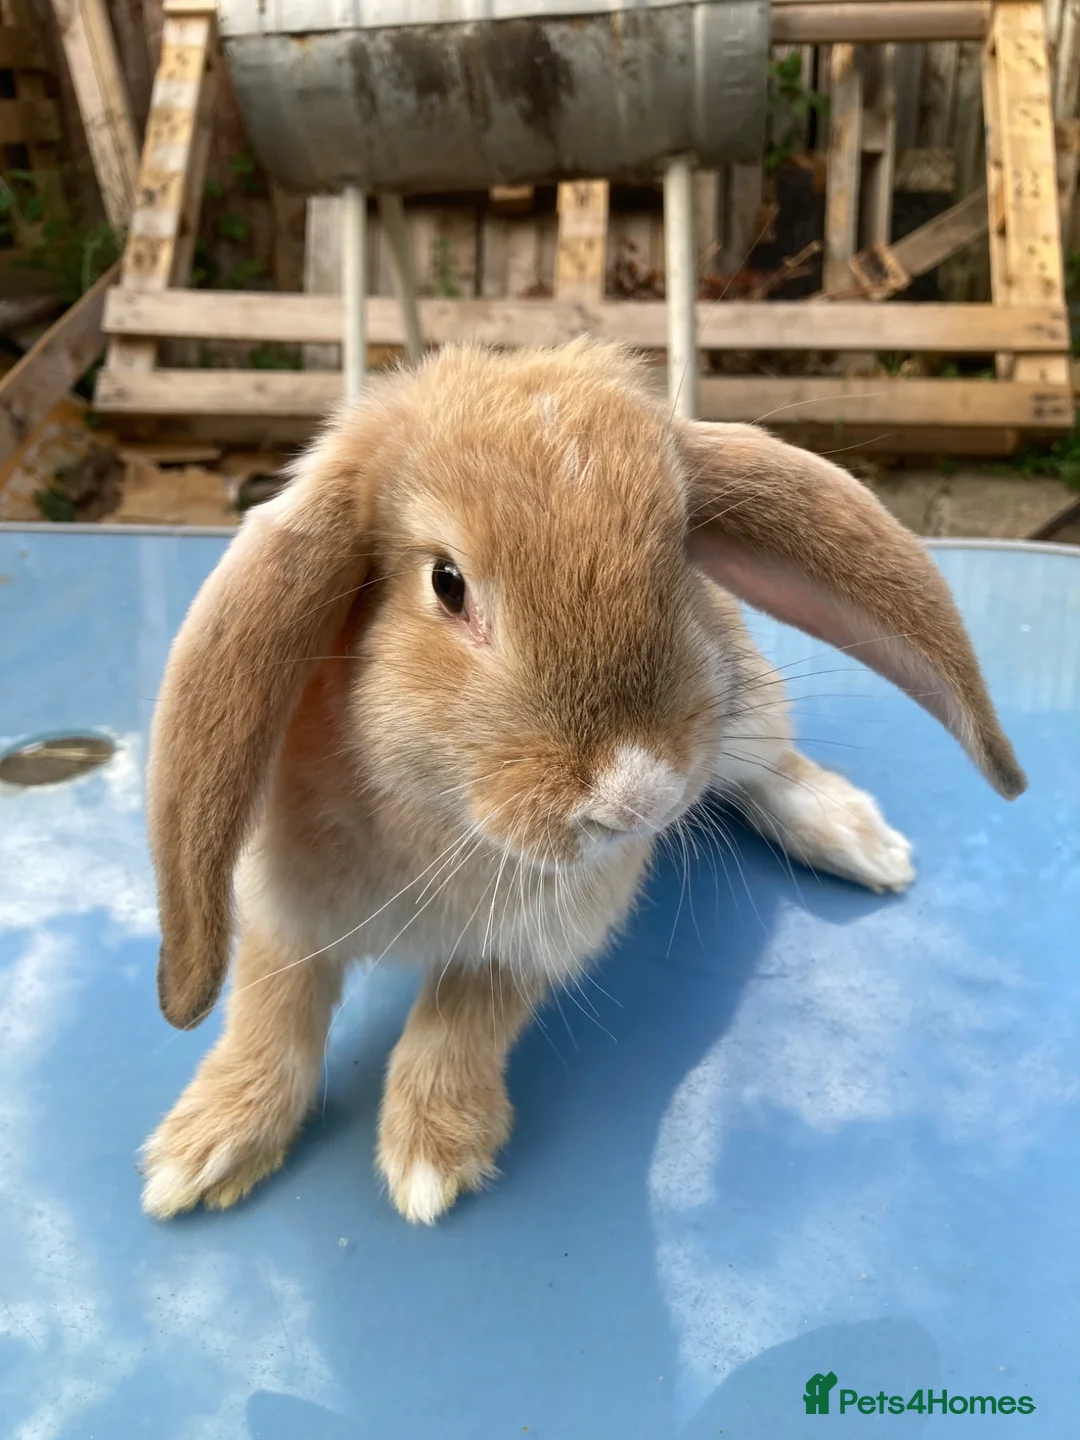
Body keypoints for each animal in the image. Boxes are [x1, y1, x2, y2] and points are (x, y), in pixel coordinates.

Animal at [140, 339, 1025, 1226]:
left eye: (677, 555)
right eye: (447, 582)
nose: (637, 799)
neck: (446, 820)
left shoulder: (536, 942)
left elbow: (460, 1022)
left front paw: (432, 1152)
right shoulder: (282, 916)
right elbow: (270, 1014)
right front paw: (205, 1148)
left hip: (745, 716)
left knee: (771, 770)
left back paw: (861, 842)